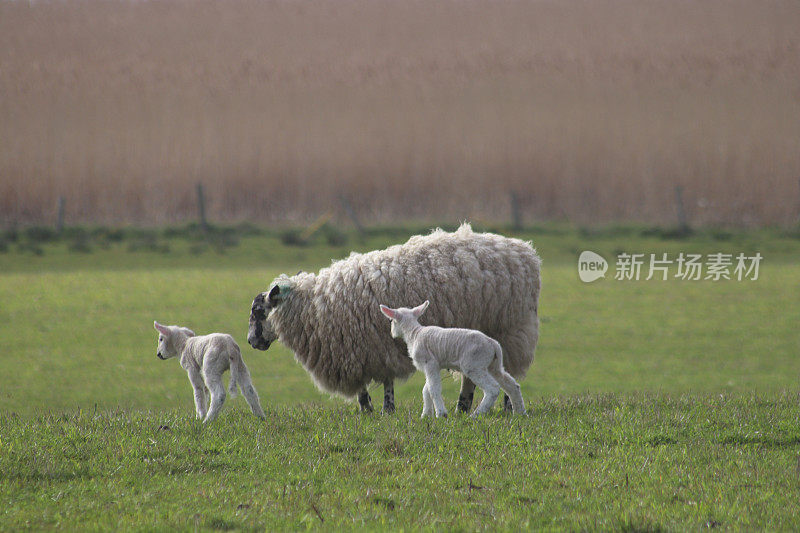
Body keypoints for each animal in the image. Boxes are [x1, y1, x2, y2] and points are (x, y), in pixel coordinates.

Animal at [380, 302, 528, 418]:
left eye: (391, 321)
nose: (392, 334)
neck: (414, 334)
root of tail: (493, 344)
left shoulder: (430, 363)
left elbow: (433, 389)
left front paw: (441, 414)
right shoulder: (434, 367)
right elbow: (426, 389)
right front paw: (425, 415)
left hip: (474, 364)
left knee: (493, 388)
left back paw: (476, 415)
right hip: (493, 365)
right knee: (512, 385)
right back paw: (520, 413)